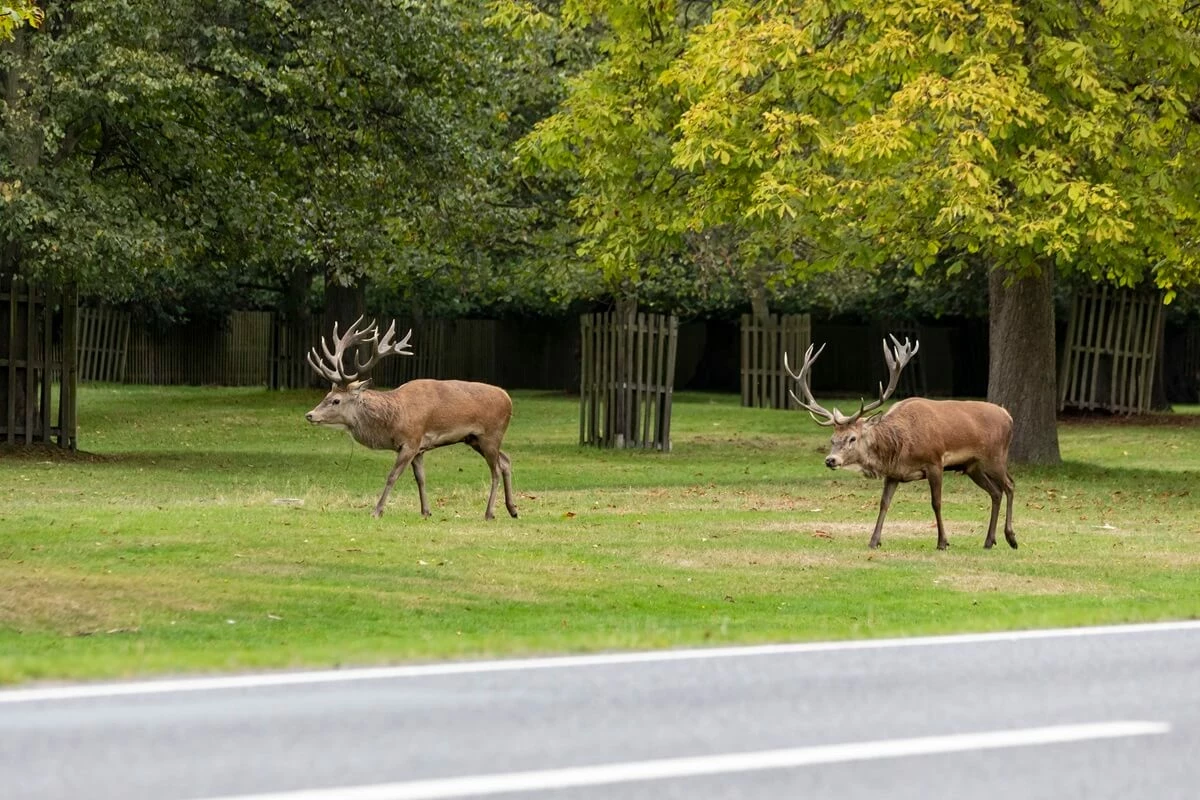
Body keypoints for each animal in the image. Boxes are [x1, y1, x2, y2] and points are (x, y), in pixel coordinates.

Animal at [304, 316, 516, 522]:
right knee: (505, 460)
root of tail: (508, 398)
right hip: (474, 439)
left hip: (491, 434)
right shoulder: (419, 448)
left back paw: (489, 513)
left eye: (336, 400)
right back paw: (512, 509)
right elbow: (420, 478)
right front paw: (426, 511)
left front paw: (377, 511)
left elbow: (392, 476)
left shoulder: (411, 441)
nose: (310, 415)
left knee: (496, 470)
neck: (395, 418)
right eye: (326, 396)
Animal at [787, 335, 1012, 551]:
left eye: (852, 438)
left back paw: (1011, 537)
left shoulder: (935, 462)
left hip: (995, 457)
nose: (831, 460)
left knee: (1009, 485)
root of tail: (1008, 416)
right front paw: (874, 541)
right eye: (832, 439)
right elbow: (884, 503)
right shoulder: (893, 473)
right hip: (973, 466)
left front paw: (942, 542)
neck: (901, 448)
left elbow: (936, 503)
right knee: (996, 492)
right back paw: (989, 540)